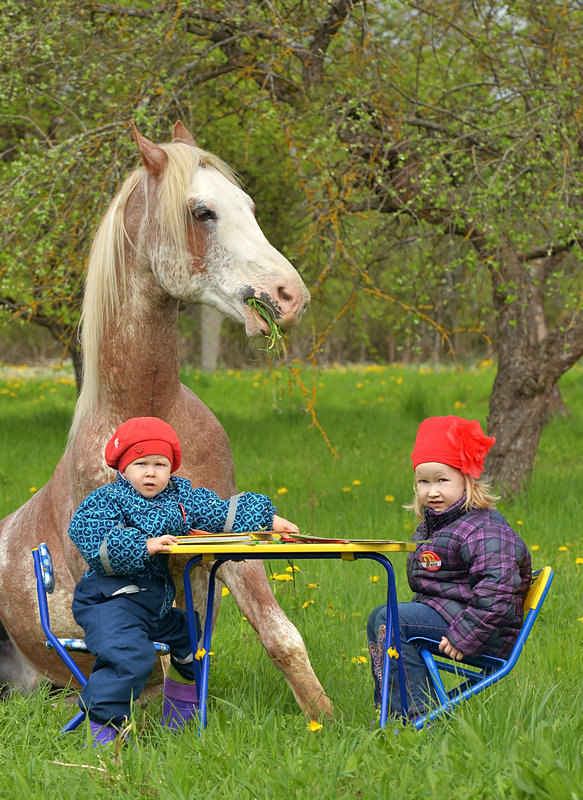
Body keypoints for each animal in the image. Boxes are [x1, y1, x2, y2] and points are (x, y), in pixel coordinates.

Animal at [0, 122, 330, 720]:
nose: (290, 296)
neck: (148, 414)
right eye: (202, 212)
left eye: (248, 205)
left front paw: (329, 722)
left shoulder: (228, 542)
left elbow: (282, 638)